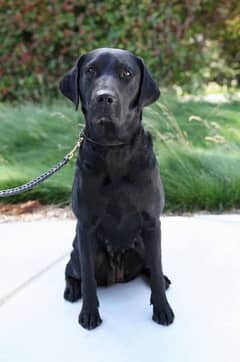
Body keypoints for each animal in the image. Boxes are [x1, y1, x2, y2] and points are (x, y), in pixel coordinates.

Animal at [59, 47, 173, 328]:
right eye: (90, 70)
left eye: (126, 73)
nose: (104, 98)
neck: (114, 149)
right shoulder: (85, 226)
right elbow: (89, 279)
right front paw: (89, 313)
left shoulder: (152, 222)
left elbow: (156, 267)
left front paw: (162, 308)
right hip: (78, 250)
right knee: (73, 270)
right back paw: (71, 289)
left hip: (141, 245)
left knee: (151, 266)